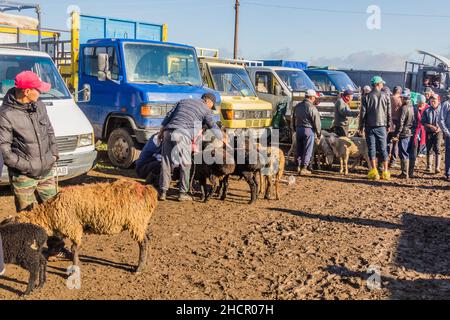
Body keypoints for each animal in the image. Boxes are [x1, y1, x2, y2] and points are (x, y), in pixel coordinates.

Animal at [14, 179, 158, 274]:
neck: (49, 213)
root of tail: (147, 190)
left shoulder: (74, 227)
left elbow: (74, 248)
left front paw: (74, 268)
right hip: (141, 222)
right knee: (148, 238)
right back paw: (146, 263)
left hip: (136, 222)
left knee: (143, 243)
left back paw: (139, 268)